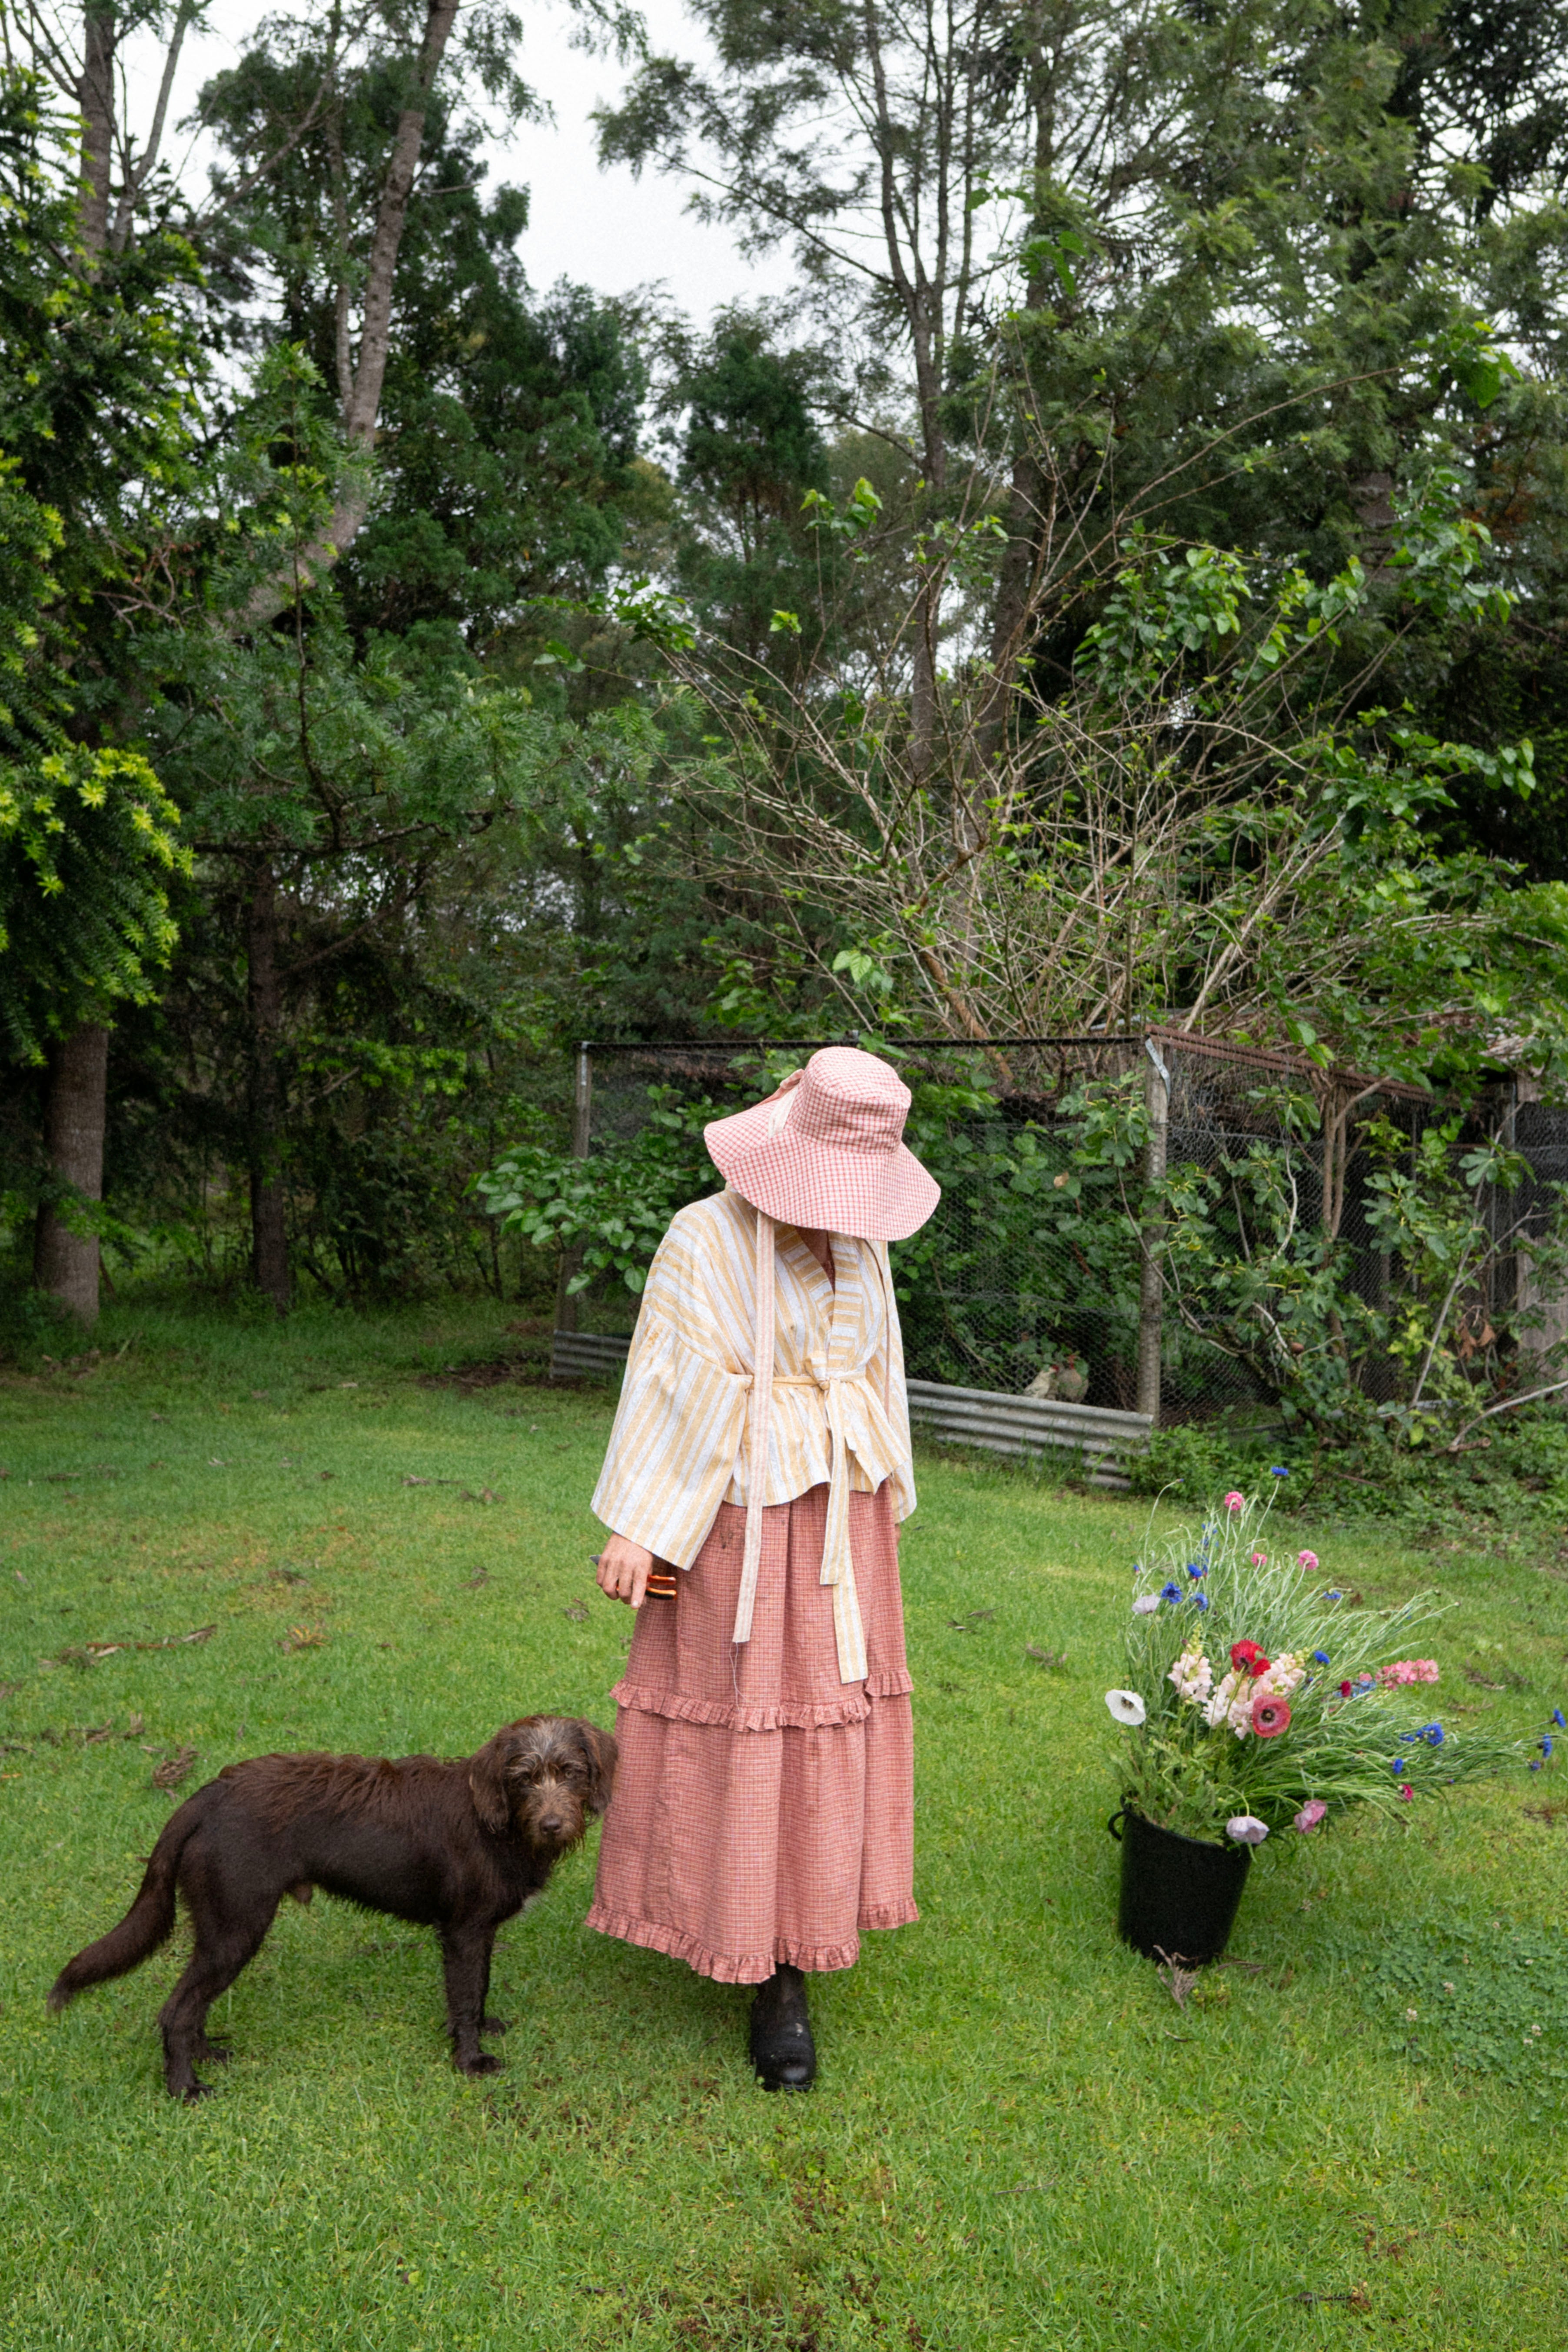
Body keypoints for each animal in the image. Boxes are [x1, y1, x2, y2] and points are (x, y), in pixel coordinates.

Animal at [49, 1712, 611, 2098]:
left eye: (571, 1772)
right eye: (523, 1778)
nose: (554, 1825)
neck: (499, 1823)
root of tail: (206, 1797)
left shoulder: (480, 1933)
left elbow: (480, 1988)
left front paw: (482, 2028)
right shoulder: (463, 1931)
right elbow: (465, 1998)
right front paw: (470, 2060)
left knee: (193, 2005)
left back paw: (206, 2056)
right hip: (235, 1926)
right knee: (176, 2010)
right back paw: (185, 2088)